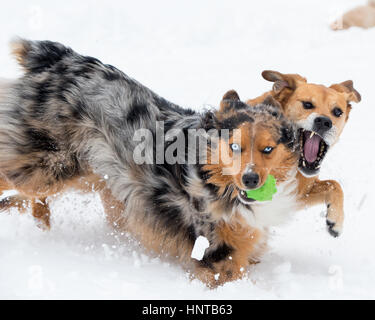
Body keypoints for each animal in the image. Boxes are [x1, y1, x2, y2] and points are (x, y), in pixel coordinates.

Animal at [248, 70, 362, 236]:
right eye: (307, 104)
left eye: (337, 112)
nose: (324, 122)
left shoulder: (298, 195)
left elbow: (334, 184)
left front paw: (336, 220)